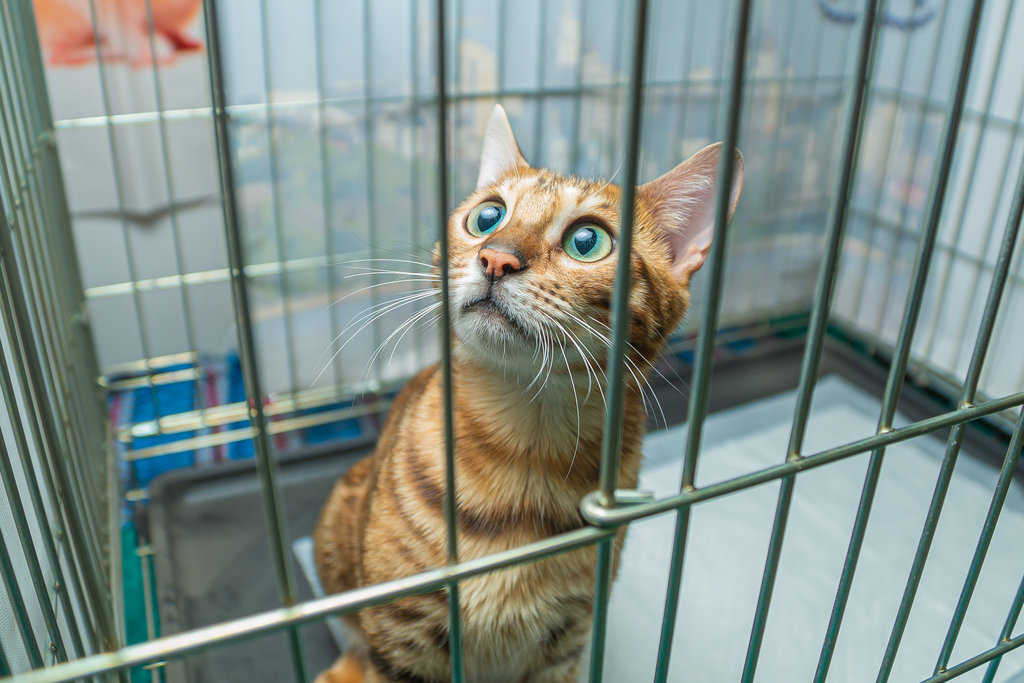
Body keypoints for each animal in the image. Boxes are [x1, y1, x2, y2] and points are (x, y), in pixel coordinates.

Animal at [314, 104, 743, 683]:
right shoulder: (401, 642)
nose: (496, 259)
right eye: (487, 217)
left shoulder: (563, 646)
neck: (524, 444)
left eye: (588, 241)